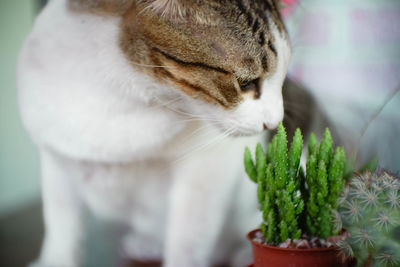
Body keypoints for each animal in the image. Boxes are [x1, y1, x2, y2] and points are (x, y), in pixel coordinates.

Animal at [17, 0, 320, 267]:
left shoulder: (208, 166)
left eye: (282, 78)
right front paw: (54, 259)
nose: (274, 122)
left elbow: (188, 237)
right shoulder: (55, 159)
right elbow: (60, 227)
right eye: (246, 83)